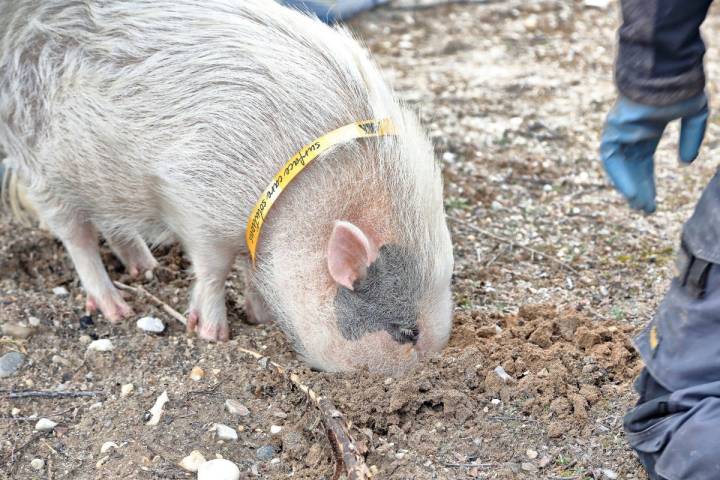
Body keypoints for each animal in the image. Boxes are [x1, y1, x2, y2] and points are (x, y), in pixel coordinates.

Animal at [0, 0, 452, 376]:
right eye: (406, 332)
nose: (421, 376)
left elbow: (249, 271)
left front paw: (259, 317)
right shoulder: (193, 201)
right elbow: (212, 270)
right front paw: (213, 334)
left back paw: (146, 267)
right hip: (39, 168)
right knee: (76, 238)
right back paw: (117, 311)